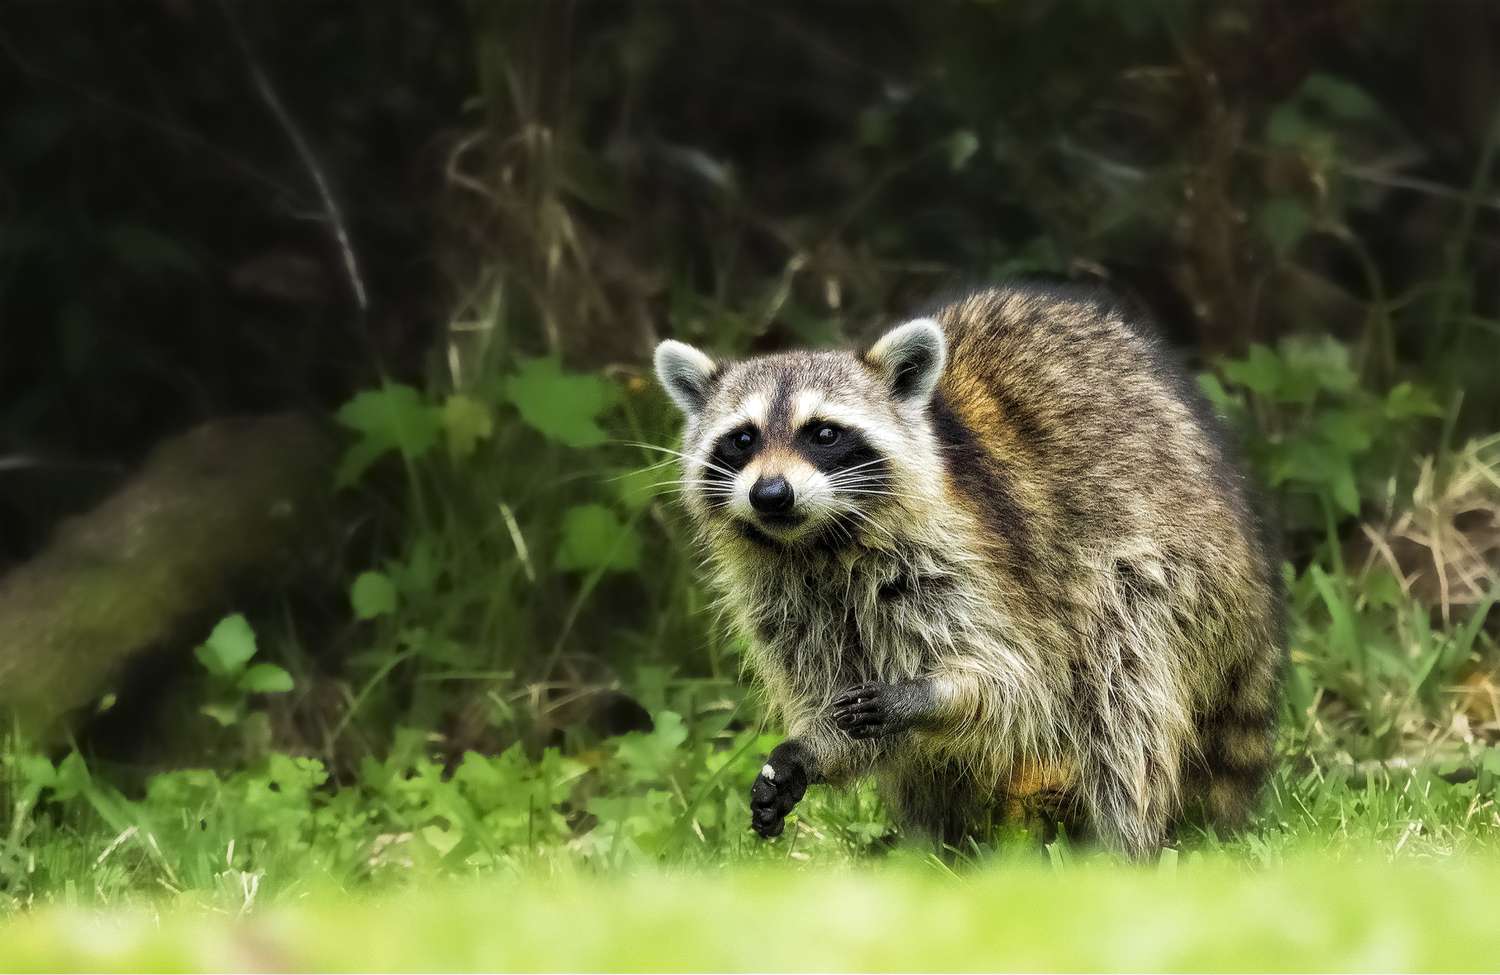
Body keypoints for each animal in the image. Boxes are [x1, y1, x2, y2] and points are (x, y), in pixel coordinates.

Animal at [652, 283, 1284, 857]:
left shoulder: (980, 560)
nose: (770, 494)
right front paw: (810, 749)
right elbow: (845, 711)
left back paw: (1123, 847)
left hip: (1175, 571)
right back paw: (936, 849)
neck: (818, 545)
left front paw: (935, 694)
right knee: (926, 769)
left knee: (1125, 688)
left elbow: (1024, 686)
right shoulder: (786, 603)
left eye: (824, 433)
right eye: (742, 439)